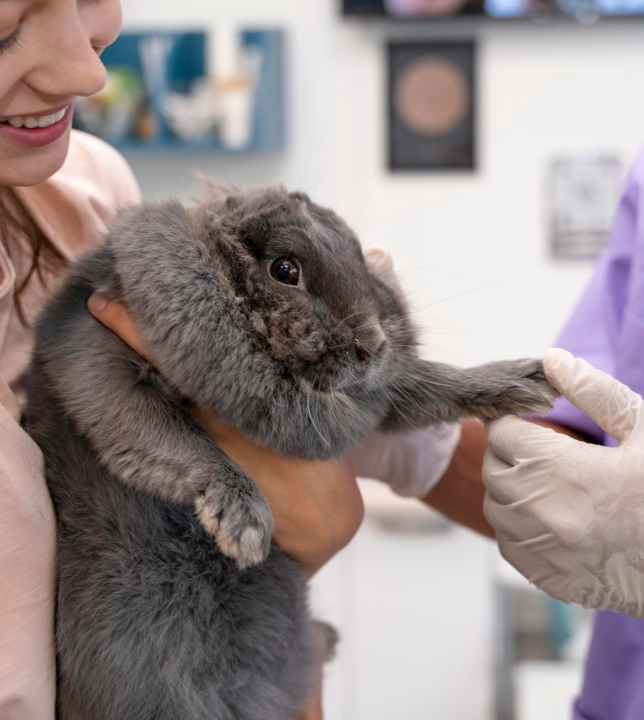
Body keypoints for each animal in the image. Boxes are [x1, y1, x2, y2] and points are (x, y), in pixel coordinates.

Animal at [23, 184, 557, 720]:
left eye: (360, 257)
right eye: (284, 270)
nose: (372, 343)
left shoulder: (385, 398)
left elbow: (433, 384)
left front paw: (523, 382)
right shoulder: (101, 363)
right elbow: (175, 439)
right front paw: (245, 525)